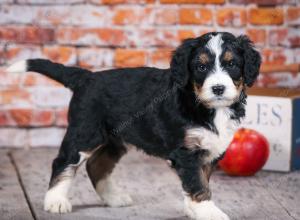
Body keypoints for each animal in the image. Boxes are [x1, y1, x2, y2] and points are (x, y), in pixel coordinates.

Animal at [7, 31, 260, 220]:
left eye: (232, 64)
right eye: (201, 67)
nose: (218, 88)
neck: (207, 107)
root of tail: (87, 77)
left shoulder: (210, 150)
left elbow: (201, 180)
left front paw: (194, 209)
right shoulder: (186, 152)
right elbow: (197, 184)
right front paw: (208, 211)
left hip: (114, 139)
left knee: (96, 165)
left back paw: (113, 198)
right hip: (85, 131)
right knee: (64, 161)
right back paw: (56, 201)